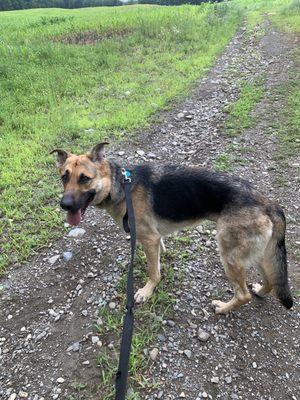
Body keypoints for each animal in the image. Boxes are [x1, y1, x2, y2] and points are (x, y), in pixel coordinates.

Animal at [51, 142, 292, 314]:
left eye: (84, 179)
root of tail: (269, 204)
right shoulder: (154, 238)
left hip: (229, 255)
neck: (120, 185)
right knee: (271, 279)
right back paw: (260, 290)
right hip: (256, 253)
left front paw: (147, 291)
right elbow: (158, 255)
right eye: (64, 177)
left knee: (243, 295)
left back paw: (224, 308)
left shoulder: (149, 239)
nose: (64, 205)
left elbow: (153, 271)